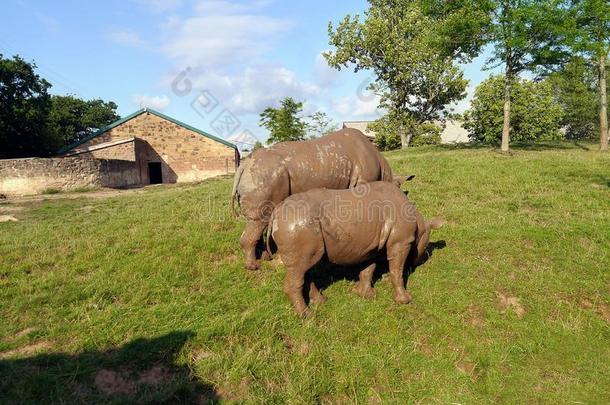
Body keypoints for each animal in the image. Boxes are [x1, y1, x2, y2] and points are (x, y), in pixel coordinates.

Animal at [228, 128, 404, 270]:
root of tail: (244, 165)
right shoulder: (364, 182)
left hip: (260, 175)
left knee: (258, 221)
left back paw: (265, 258)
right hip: (264, 176)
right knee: (260, 219)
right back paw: (254, 267)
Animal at [268, 180, 440, 316]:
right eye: (425, 246)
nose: (422, 260)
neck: (419, 222)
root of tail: (275, 214)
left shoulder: (372, 245)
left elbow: (368, 269)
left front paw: (365, 295)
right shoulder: (401, 242)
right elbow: (396, 270)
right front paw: (404, 300)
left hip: (299, 225)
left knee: (304, 266)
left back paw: (322, 301)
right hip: (297, 223)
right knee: (301, 268)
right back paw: (307, 315)